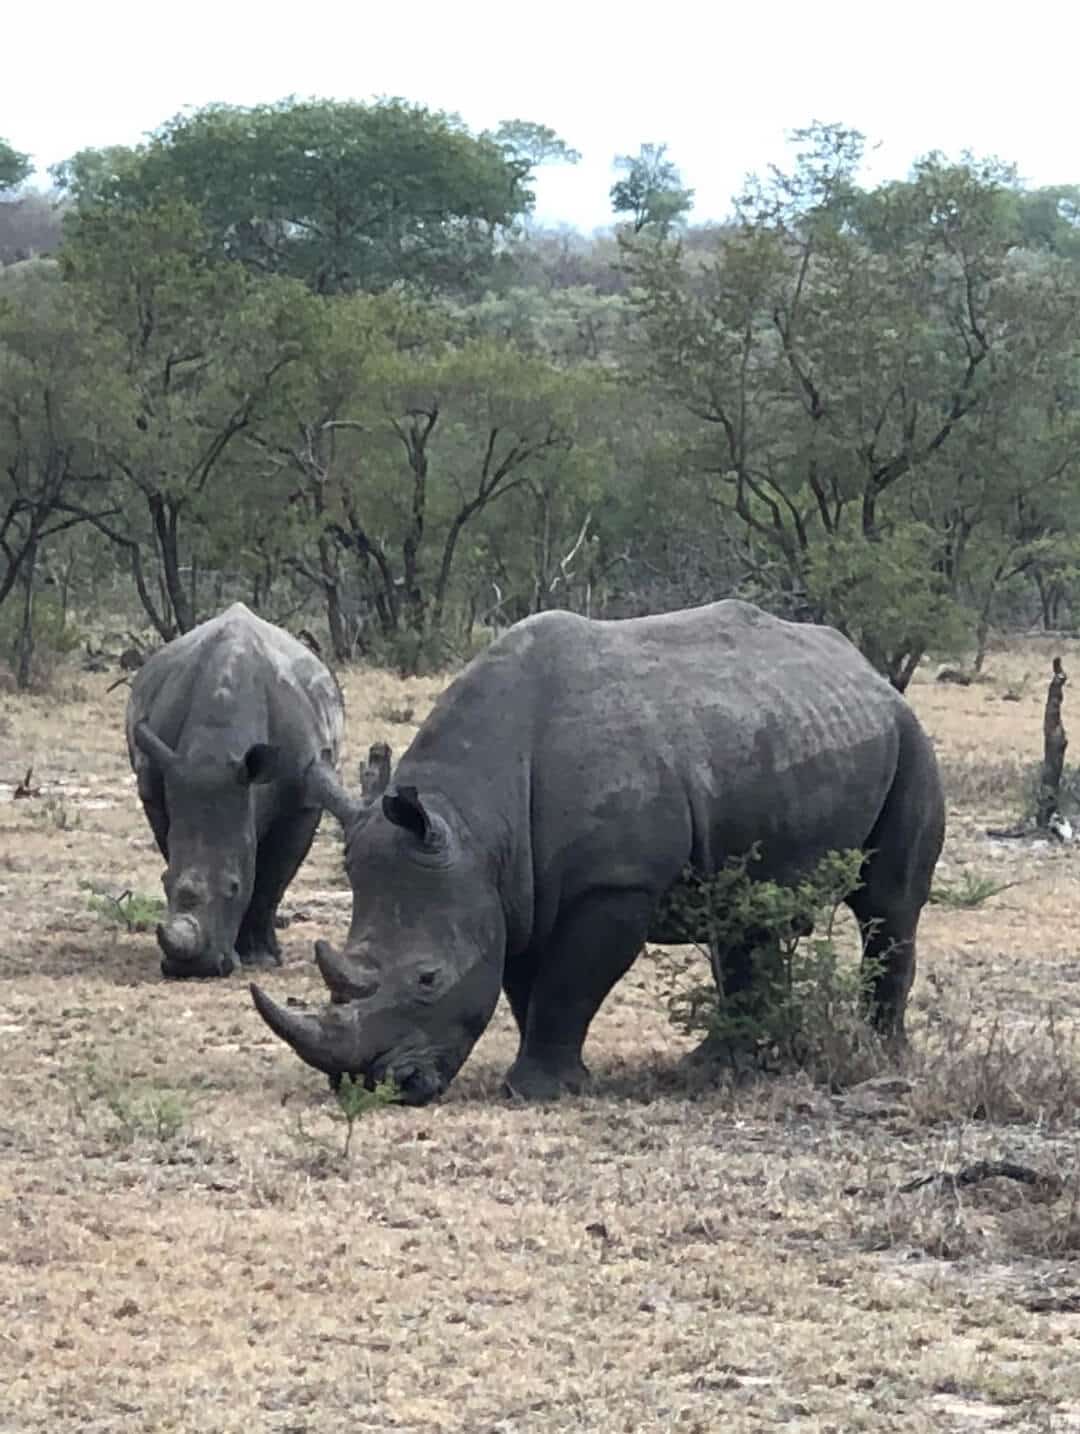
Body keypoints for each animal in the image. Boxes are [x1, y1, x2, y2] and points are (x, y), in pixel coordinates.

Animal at [126, 603, 344, 979]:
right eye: (163, 883)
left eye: (234, 887)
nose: (193, 969)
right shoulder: (159, 780)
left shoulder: (302, 801)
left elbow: (271, 880)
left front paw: (260, 958)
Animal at [251, 600, 945, 1103]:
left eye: (428, 979)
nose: (374, 1086)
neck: (475, 821)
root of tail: (867, 672)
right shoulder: (512, 888)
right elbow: (525, 984)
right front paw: (553, 1080)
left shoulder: (615, 882)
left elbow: (568, 983)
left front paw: (536, 1092)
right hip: (782, 731)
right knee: (746, 919)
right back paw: (719, 1066)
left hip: (910, 736)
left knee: (888, 906)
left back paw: (881, 1056)